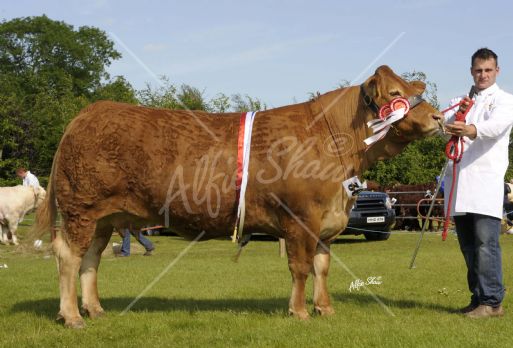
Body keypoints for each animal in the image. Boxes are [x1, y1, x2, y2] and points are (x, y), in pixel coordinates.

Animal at [33, 66, 440, 328]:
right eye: (395, 95)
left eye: (412, 89)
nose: (437, 117)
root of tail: (88, 113)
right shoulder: (301, 219)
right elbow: (300, 268)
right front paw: (299, 312)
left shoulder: (325, 223)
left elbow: (322, 267)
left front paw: (325, 309)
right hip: (81, 209)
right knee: (68, 255)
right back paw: (72, 316)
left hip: (102, 218)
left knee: (90, 259)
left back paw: (94, 310)